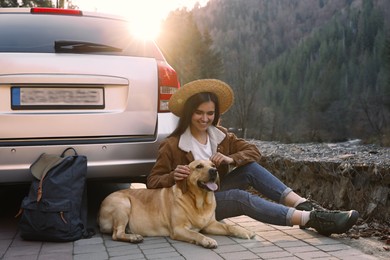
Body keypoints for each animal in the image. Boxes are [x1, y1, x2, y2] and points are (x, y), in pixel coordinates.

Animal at [97, 158, 256, 248]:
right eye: (199, 166)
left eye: (212, 164)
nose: (214, 170)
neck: (199, 202)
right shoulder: (179, 229)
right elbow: (196, 234)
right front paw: (207, 240)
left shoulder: (210, 225)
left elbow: (229, 226)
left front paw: (244, 231)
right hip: (123, 203)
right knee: (116, 234)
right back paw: (134, 237)